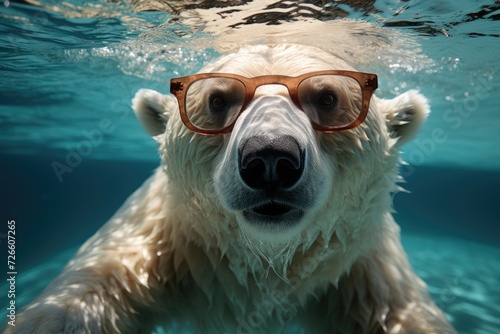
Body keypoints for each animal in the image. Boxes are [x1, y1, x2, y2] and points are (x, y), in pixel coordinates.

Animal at [7, 44, 456, 334]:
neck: (266, 266)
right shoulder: (162, 244)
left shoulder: (362, 271)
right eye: (218, 99)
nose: (271, 159)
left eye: (327, 97)